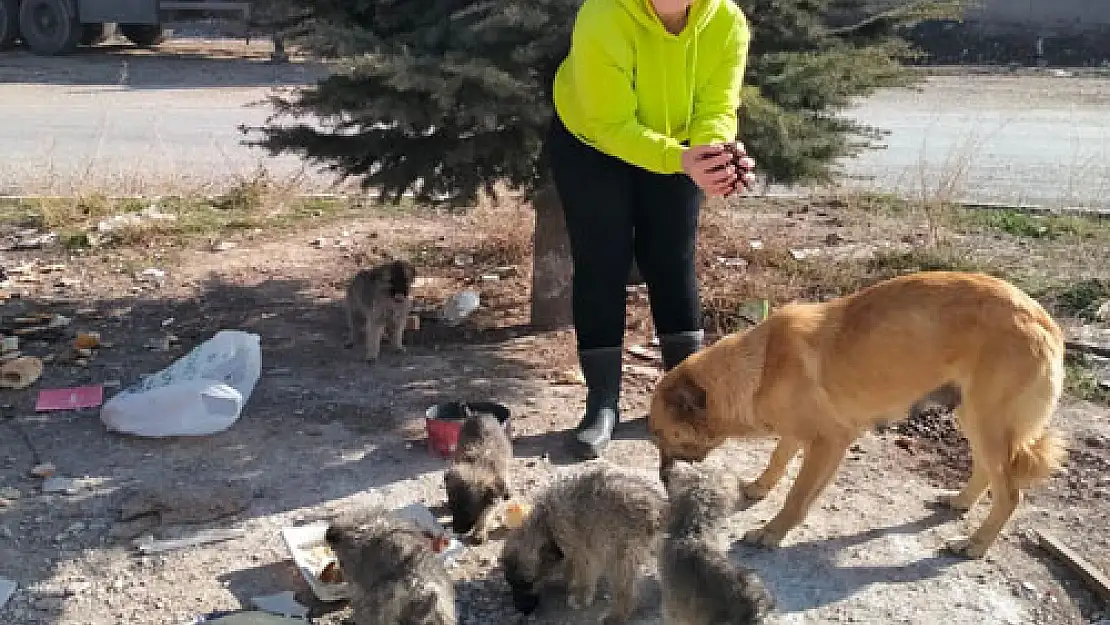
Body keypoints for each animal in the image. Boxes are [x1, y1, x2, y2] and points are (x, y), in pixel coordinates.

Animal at [503, 464, 666, 625]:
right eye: (511, 583)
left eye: (528, 583)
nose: (522, 610)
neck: (546, 523)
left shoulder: (583, 550)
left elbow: (584, 574)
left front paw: (580, 594)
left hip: (621, 554)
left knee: (625, 591)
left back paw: (615, 616)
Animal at [648, 271, 1065, 559]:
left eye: (664, 435)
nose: (664, 479)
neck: (758, 367)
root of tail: (1047, 324)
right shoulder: (799, 430)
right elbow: (778, 456)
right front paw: (760, 486)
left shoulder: (829, 442)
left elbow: (798, 496)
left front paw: (772, 532)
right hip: (971, 416)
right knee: (987, 470)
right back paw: (961, 501)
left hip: (986, 421)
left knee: (1011, 493)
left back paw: (975, 544)